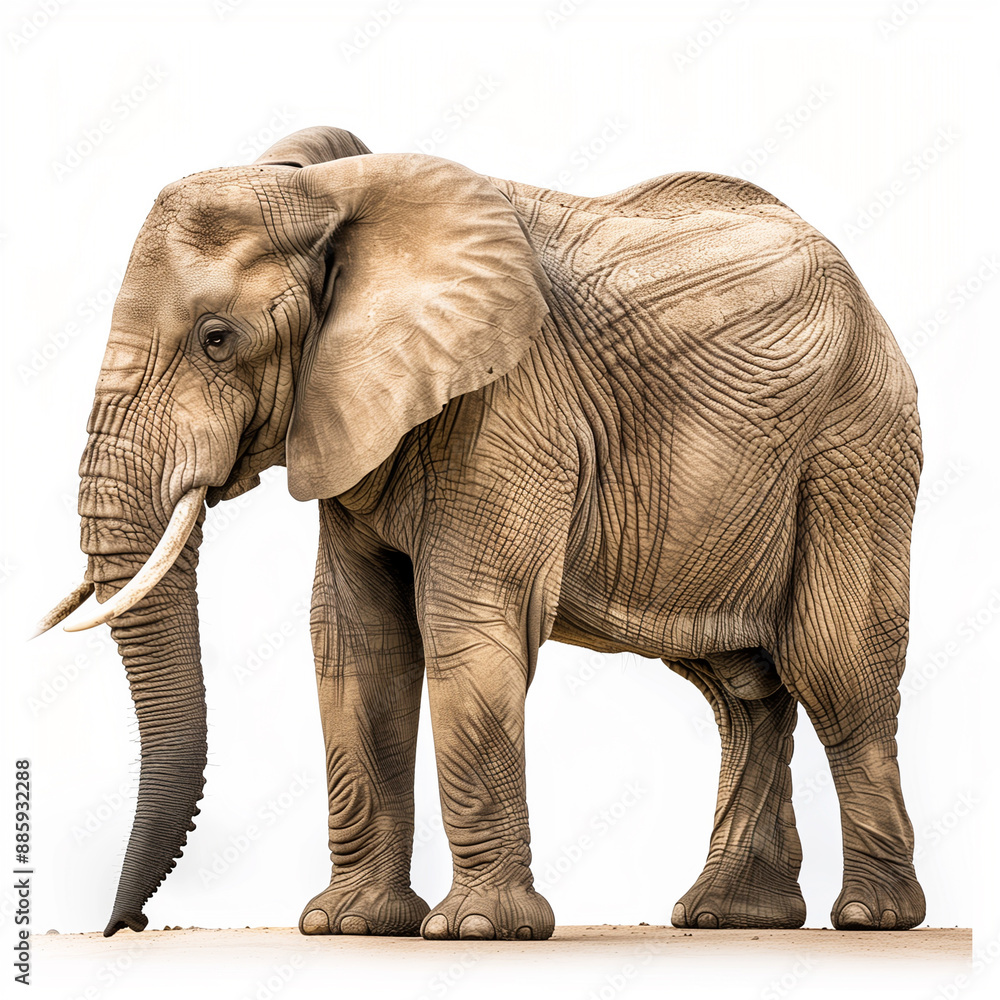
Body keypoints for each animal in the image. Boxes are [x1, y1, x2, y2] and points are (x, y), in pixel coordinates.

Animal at [36, 125, 926, 941]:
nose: (128, 927)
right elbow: (356, 637)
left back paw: (871, 918)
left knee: (834, 662)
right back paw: (728, 918)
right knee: (742, 687)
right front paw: (349, 926)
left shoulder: (510, 402)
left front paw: (476, 930)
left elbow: (464, 621)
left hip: (858, 442)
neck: (329, 193)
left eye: (217, 339)